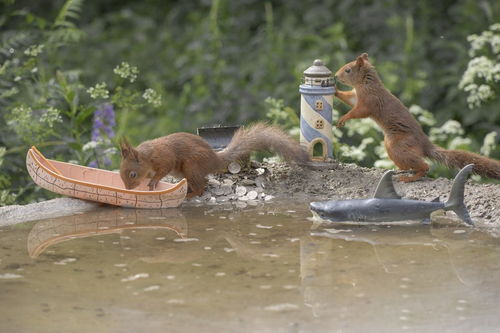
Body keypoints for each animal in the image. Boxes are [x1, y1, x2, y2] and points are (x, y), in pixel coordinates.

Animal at [119, 122, 310, 196]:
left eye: (133, 174)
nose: (128, 189)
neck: (147, 156)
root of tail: (214, 160)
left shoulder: (164, 157)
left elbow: (164, 168)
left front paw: (153, 182)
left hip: (191, 166)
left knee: (202, 185)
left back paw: (190, 195)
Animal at [332, 52, 500, 182]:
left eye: (348, 70)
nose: (335, 75)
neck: (365, 84)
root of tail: (425, 144)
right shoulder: (356, 97)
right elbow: (349, 99)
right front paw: (335, 91)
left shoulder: (369, 101)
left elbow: (358, 112)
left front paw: (343, 118)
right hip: (391, 146)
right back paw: (401, 170)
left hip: (398, 145)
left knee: (424, 166)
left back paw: (410, 177)